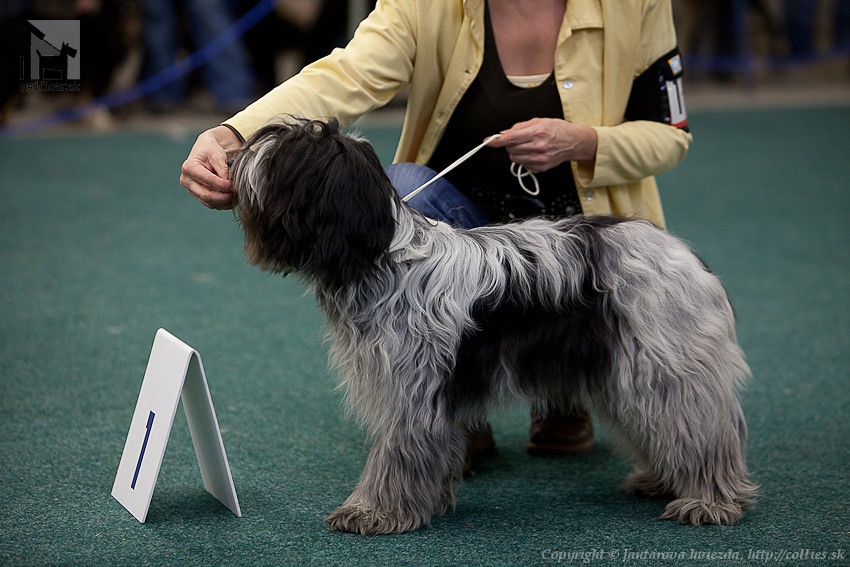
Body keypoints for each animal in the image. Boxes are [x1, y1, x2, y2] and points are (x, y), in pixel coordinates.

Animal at [227, 117, 756, 536]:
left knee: (704, 434)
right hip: (628, 370)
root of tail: (687, 256)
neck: (383, 256)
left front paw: (374, 511)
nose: (232, 155)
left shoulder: (411, 390)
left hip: (664, 368)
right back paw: (661, 480)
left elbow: (395, 455)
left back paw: (709, 500)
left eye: (286, 150)